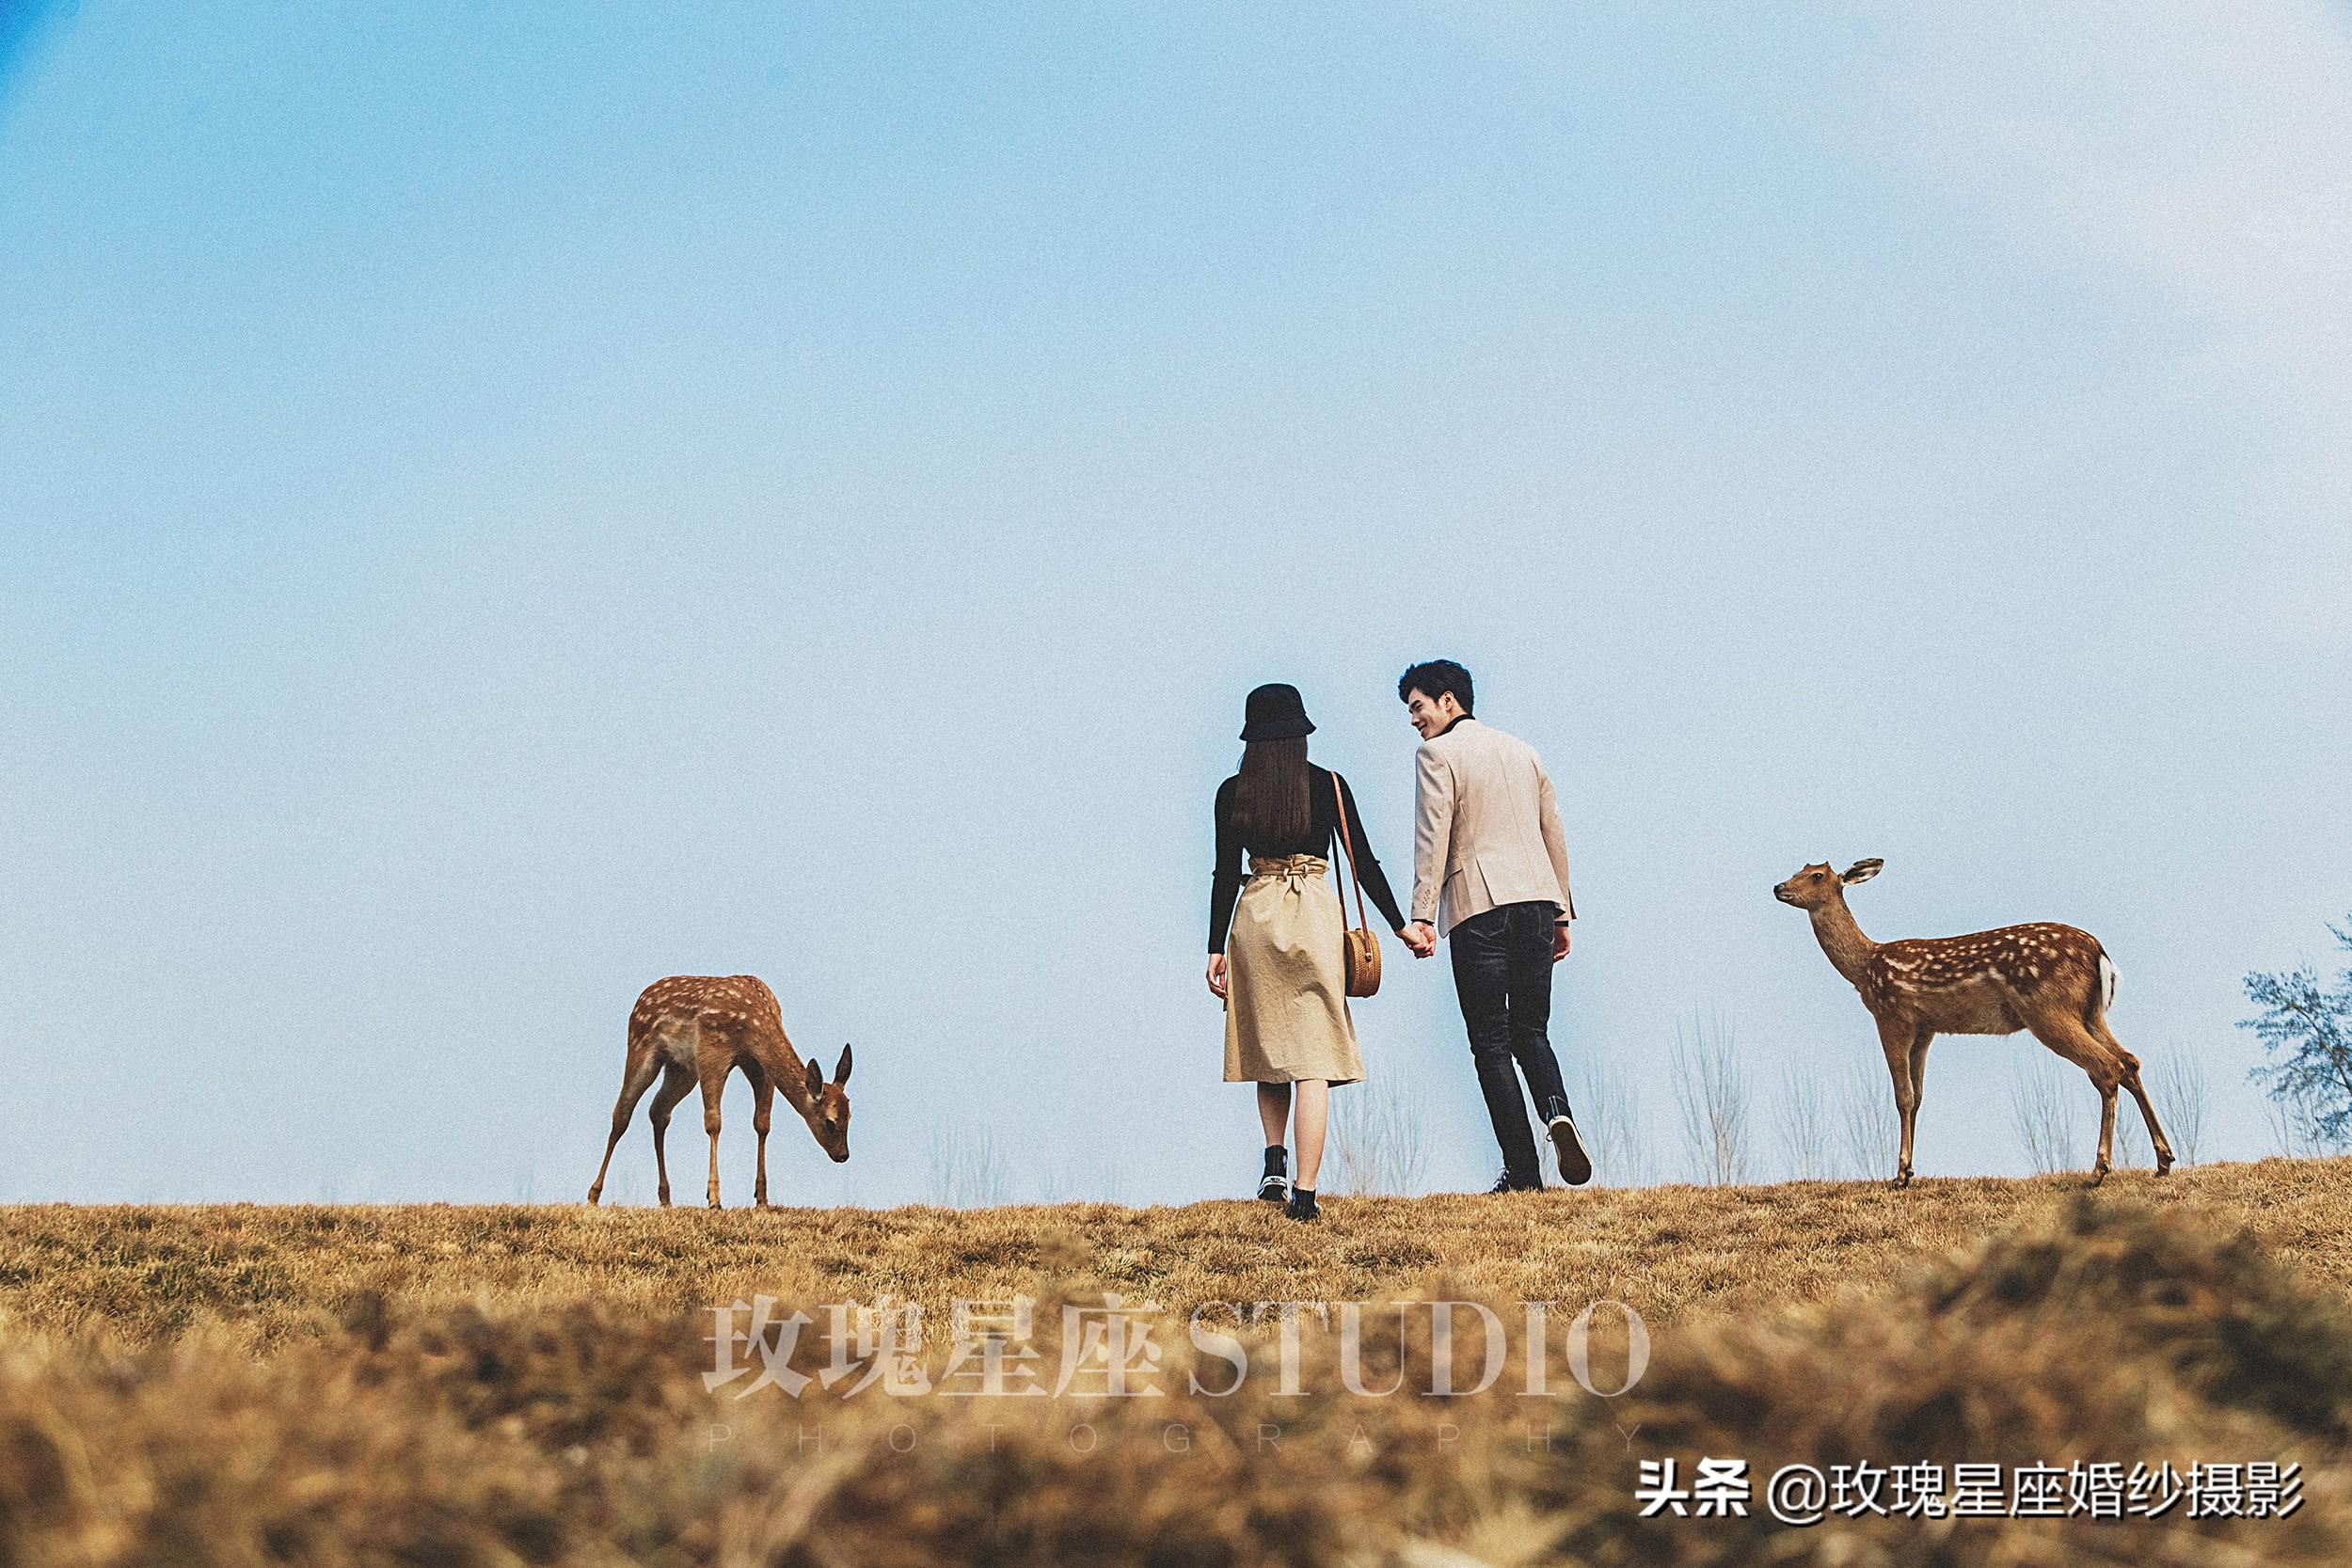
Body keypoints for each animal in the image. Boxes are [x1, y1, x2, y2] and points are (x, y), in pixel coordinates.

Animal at [583, 973, 851, 1212]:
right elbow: (714, 1123)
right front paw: (714, 1197)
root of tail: (640, 999)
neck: (752, 1025)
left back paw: (666, 1197)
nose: (843, 1155)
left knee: (658, 1110)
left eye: (850, 1117)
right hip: (641, 1047)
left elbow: (762, 1124)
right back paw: (594, 1194)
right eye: (829, 1122)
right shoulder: (711, 1053)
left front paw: (762, 1198)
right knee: (622, 1114)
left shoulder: (759, 1067)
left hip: (681, 1069)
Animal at [1769, 860, 2173, 1189]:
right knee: (2130, 1061)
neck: (1864, 968)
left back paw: (2099, 1170)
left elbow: (1902, 1096)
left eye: (1817, 875)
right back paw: (2164, 1159)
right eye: (1800, 867)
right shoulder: (1926, 1028)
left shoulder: (1892, 1015)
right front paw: (1911, 1170)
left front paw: (1899, 1175)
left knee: (2105, 1067)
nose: (1778, 887)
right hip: (2091, 1012)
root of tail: (2099, 953)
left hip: (2048, 1009)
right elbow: (1918, 1097)